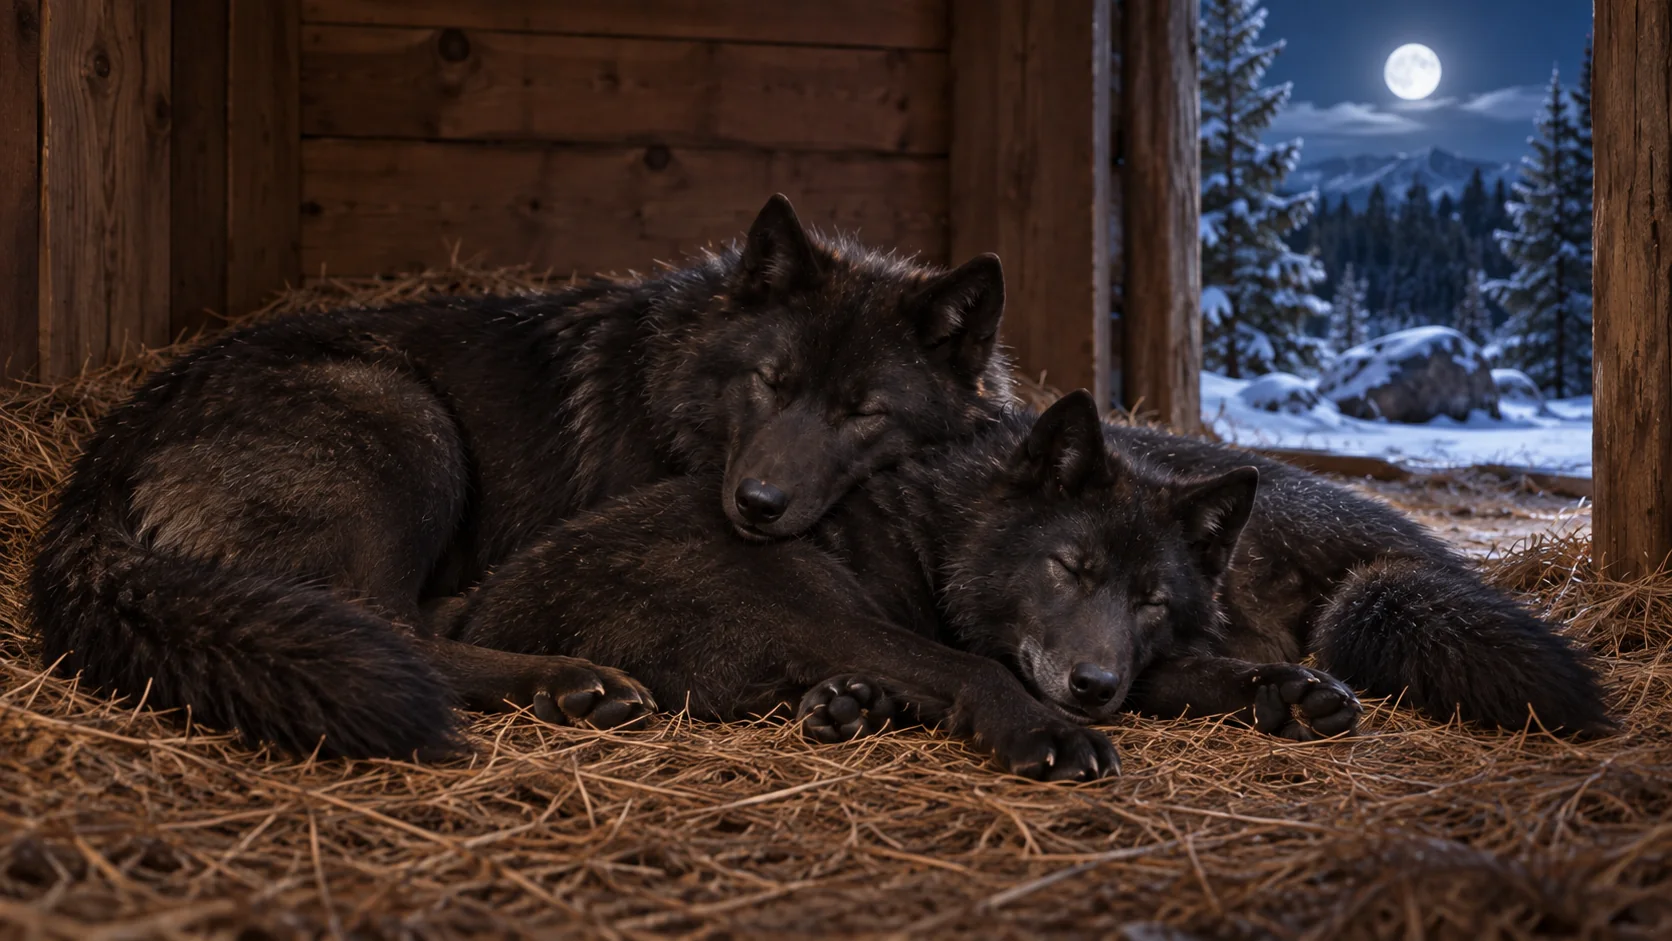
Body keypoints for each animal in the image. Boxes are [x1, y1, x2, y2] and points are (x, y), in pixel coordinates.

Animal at [30, 195, 1016, 761]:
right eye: (769, 382)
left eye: (864, 413)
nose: (758, 505)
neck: (681, 405)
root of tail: (109, 444)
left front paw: (852, 699)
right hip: (410, 423)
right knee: (394, 633)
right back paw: (570, 682)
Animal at [451, 392, 1609, 779]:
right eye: (1070, 568)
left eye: (1150, 599)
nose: (1091, 687)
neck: (932, 540)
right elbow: (979, 668)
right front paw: (1053, 732)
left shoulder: (1131, 657)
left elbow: (1192, 673)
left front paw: (1287, 694)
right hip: (805, 589)